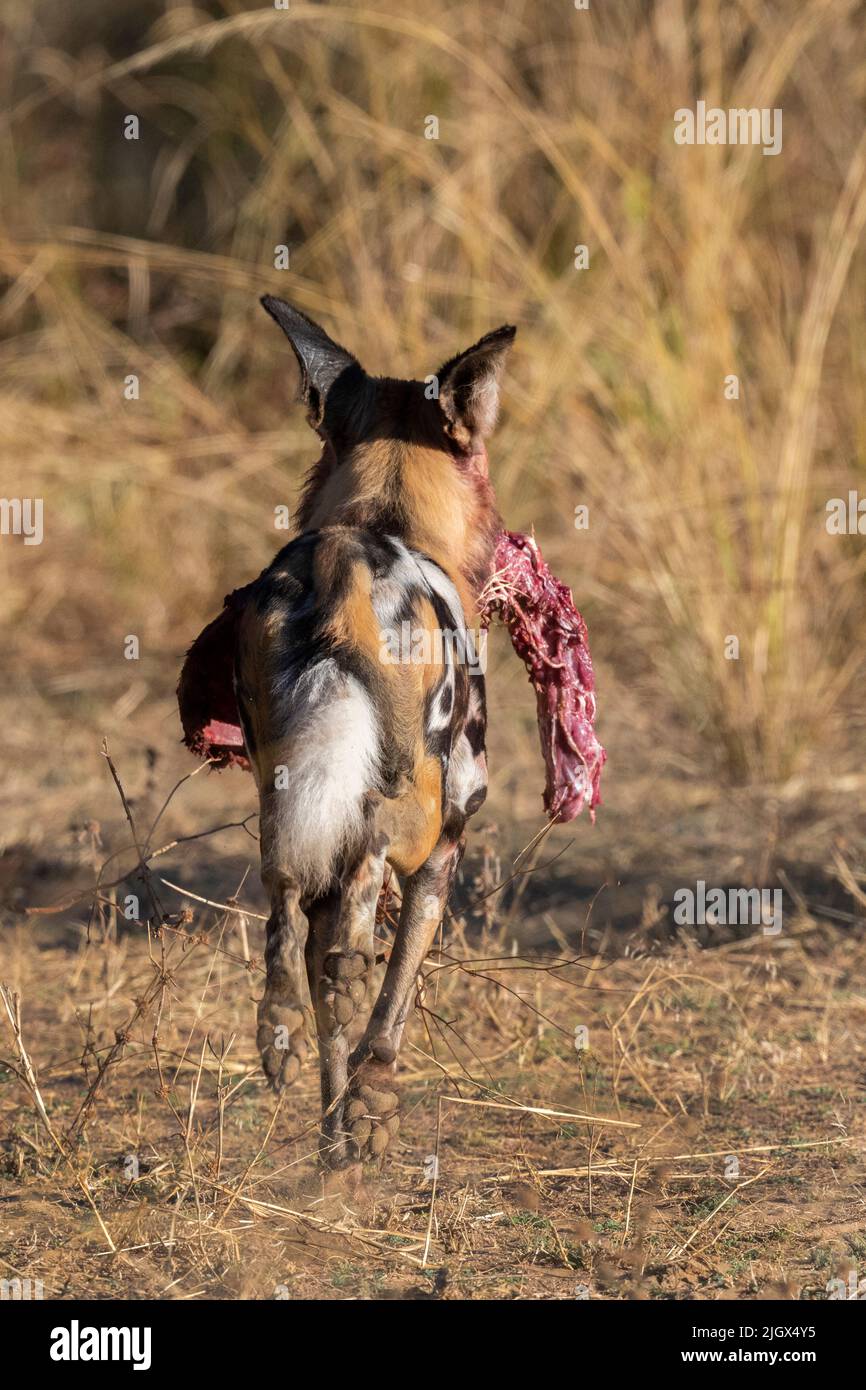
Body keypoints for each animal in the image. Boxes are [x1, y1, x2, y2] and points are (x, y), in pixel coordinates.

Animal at [234, 297, 515, 1167]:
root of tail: (344, 564)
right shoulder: (447, 850)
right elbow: (393, 1005)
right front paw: (372, 1108)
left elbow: (336, 1030)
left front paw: (335, 1149)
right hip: (417, 812)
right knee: (367, 874)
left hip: (285, 799)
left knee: (286, 903)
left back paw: (278, 1025)